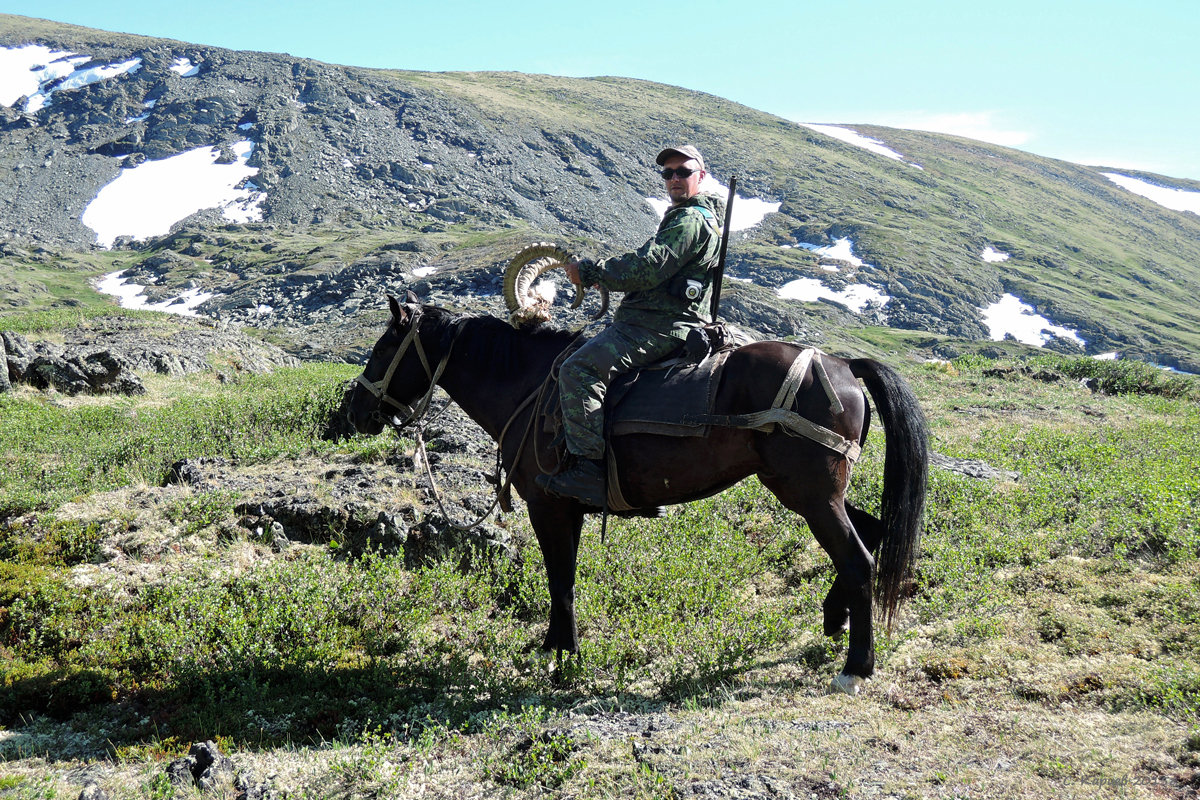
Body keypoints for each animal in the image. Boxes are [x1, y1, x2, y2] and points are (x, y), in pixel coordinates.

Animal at [348, 293, 926, 695]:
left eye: (382, 348)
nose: (355, 410)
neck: (529, 383)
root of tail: (845, 367)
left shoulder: (549, 505)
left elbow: (559, 579)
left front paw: (562, 656)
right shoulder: (569, 511)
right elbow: (565, 577)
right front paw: (557, 648)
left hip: (809, 493)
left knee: (858, 558)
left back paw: (856, 667)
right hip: (814, 491)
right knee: (872, 532)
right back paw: (833, 618)